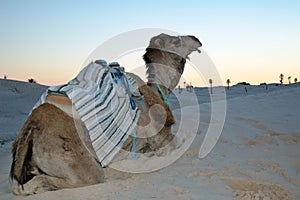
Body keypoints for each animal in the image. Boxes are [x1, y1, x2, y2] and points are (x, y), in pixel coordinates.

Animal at [9, 33, 202, 195]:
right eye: (176, 41)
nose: (196, 38)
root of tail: (32, 127)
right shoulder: (161, 138)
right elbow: (181, 141)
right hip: (75, 161)